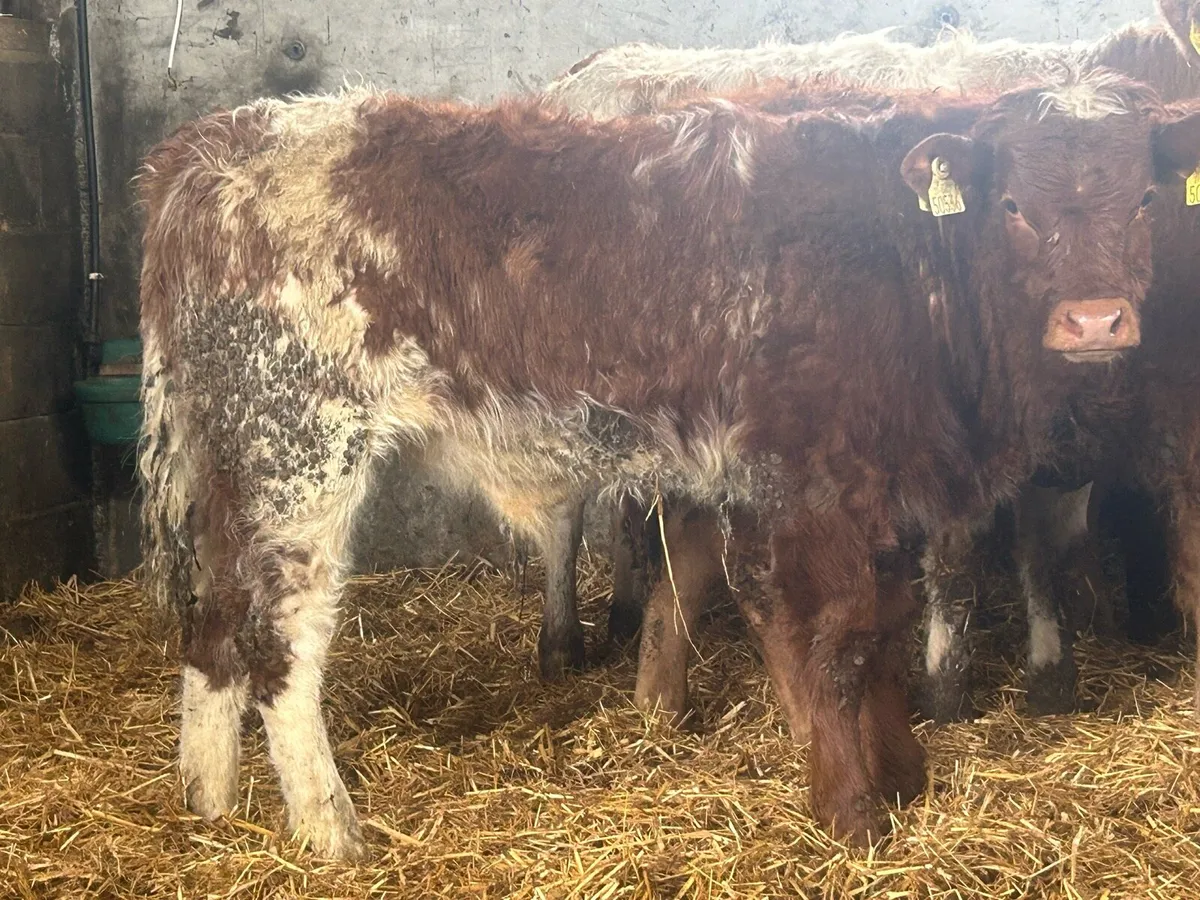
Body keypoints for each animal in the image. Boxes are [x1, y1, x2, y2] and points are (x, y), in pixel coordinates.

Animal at [136, 73, 1200, 855]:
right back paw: (332, 835)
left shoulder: (878, 485)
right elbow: (836, 637)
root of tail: (209, 147)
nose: (1095, 320)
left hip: (232, 463)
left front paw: (904, 777)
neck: (903, 260)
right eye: (1013, 204)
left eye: (1146, 198)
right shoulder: (804, 480)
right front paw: (854, 814)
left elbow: (885, 625)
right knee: (281, 647)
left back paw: (209, 807)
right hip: (298, 451)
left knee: (212, 624)